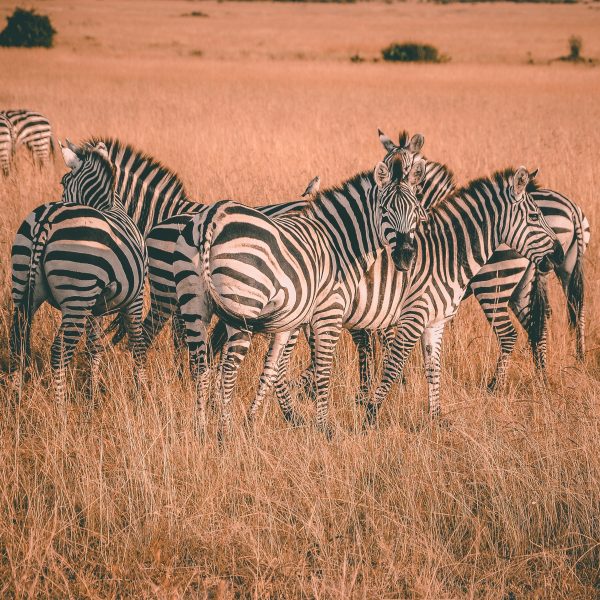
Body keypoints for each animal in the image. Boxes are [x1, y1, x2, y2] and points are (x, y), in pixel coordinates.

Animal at [10, 141, 148, 406]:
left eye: (63, 182)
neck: (109, 205)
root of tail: (47, 218)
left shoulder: (97, 306)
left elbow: (94, 346)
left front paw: (92, 394)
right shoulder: (135, 298)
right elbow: (138, 342)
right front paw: (142, 392)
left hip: (23, 285)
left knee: (17, 341)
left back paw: (16, 400)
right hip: (77, 293)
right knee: (59, 351)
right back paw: (60, 408)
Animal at [173, 152, 426, 438]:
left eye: (415, 211)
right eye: (384, 210)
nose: (405, 257)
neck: (339, 245)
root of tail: (211, 217)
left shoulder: (293, 319)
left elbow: (273, 367)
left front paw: (256, 419)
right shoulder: (329, 312)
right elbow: (323, 368)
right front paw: (323, 426)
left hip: (194, 304)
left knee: (200, 365)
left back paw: (201, 428)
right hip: (244, 305)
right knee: (228, 368)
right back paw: (224, 434)